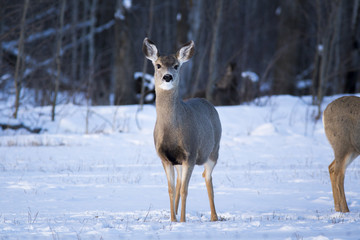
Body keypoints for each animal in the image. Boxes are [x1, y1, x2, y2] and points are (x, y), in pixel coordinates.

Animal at [143, 36, 222, 222]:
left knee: (207, 177)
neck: (171, 131)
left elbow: (185, 190)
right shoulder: (165, 157)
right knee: (181, 182)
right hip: (179, 162)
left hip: (214, 150)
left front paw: (183, 221)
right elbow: (172, 189)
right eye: (158, 65)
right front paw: (173, 219)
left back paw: (214, 217)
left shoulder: (190, 154)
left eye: (176, 65)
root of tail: (207, 102)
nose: (167, 76)